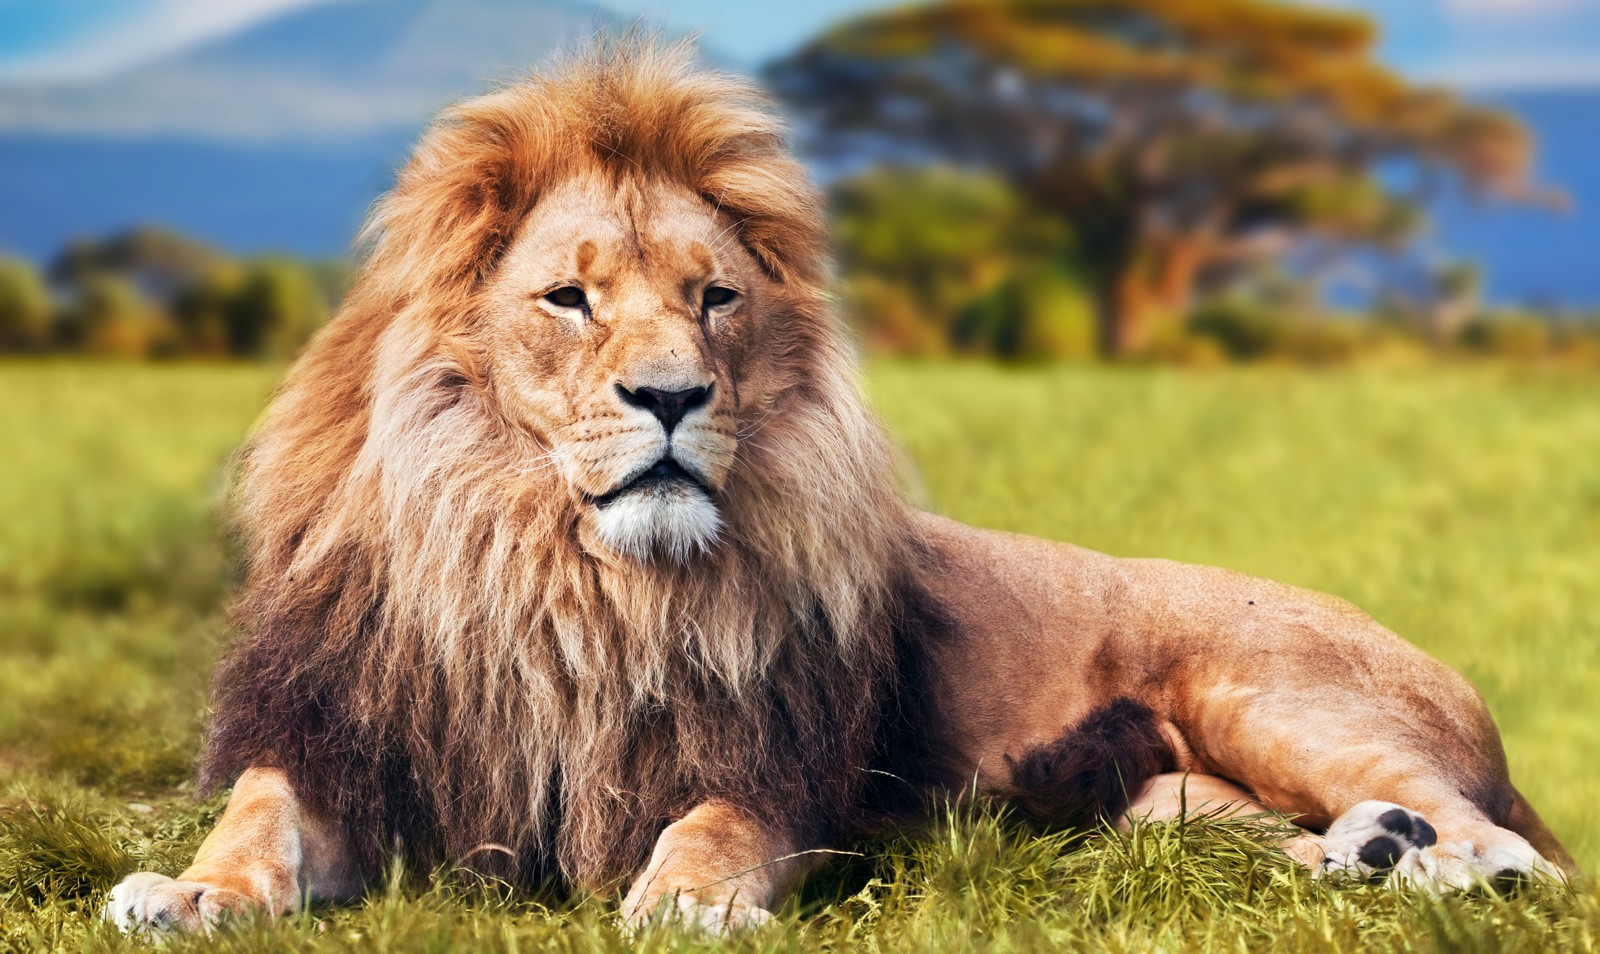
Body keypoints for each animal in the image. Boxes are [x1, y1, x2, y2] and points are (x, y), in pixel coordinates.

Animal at [106, 41, 1575, 936]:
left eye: (713, 299)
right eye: (569, 299)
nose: (672, 398)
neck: (559, 576)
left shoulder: (769, 766)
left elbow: (708, 829)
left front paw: (683, 905)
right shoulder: (343, 738)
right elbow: (255, 820)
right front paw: (183, 895)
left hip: (1267, 689)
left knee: (1510, 847)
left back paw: (1439, 862)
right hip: (1162, 801)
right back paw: (1366, 854)